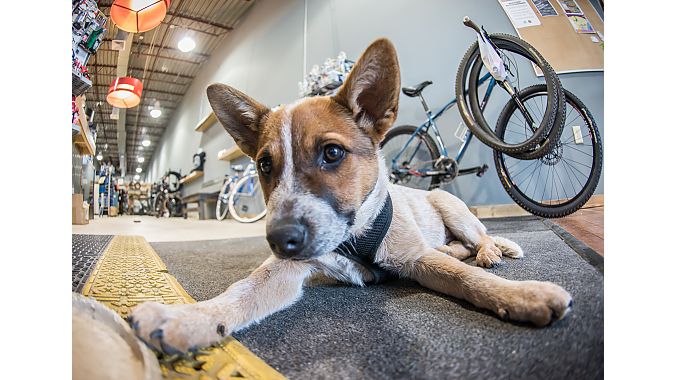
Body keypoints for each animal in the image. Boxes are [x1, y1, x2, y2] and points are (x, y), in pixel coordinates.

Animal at [128, 38, 572, 354]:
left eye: (332, 153)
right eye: (265, 165)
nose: (280, 240)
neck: (355, 235)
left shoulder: (418, 258)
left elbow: (468, 278)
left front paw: (521, 295)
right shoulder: (286, 270)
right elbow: (241, 293)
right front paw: (188, 320)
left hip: (450, 207)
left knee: (477, 239)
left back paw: (488, 250)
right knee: (457, 248)